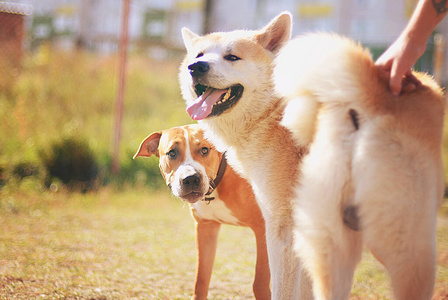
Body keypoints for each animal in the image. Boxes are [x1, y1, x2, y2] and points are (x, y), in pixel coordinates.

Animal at [133, 123, 270, 298]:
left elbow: (260, 283)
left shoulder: (263, 229)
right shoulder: (206, 228)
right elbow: (201, 281)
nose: (191, 178)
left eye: (204, 150)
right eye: (172, 153)